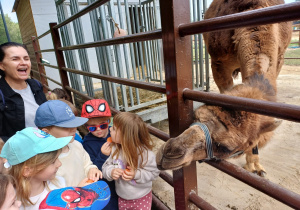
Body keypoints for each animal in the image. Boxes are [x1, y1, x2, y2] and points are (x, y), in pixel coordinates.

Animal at [156, 0, 292, 176]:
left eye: (226, 147)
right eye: (196, 116)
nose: (168, 153)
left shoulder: (280, 59)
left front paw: (255, 166)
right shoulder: (219, 63)